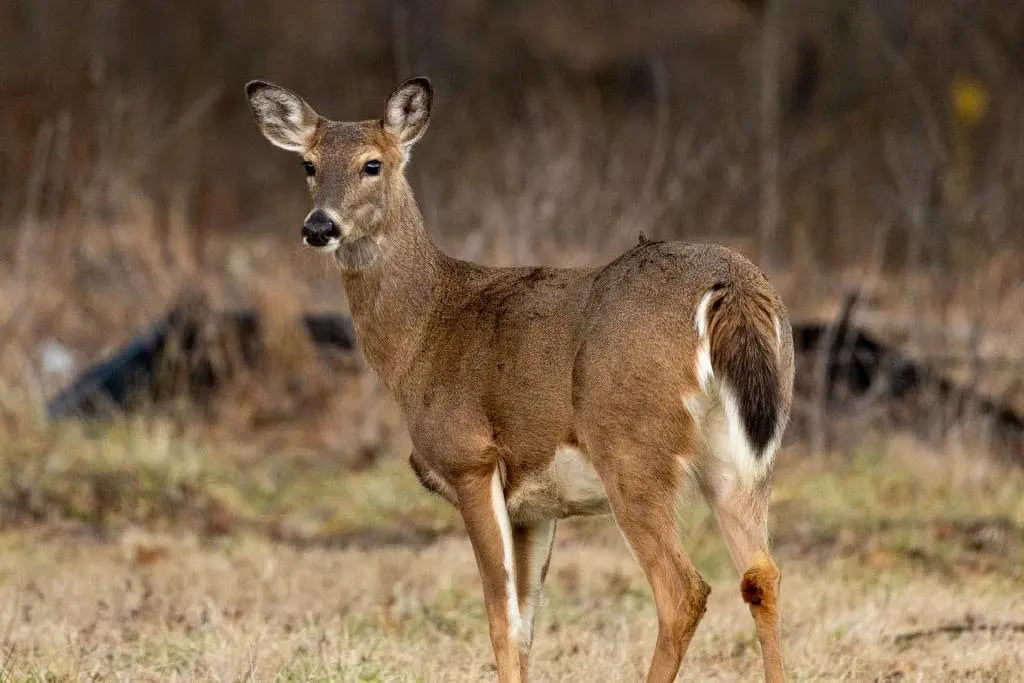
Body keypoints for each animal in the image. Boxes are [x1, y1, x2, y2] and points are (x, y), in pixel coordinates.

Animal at [245, 76, 794, 683]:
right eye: (309, 164)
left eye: (372, 163)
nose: (319, 226)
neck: (422, 333)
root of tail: (732, 286)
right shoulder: (535, 506)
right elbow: (528, 623)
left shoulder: (470, 458)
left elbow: (501, 621)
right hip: (744, 459)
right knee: (761, 576)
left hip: (630, 446)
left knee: (684, 590)